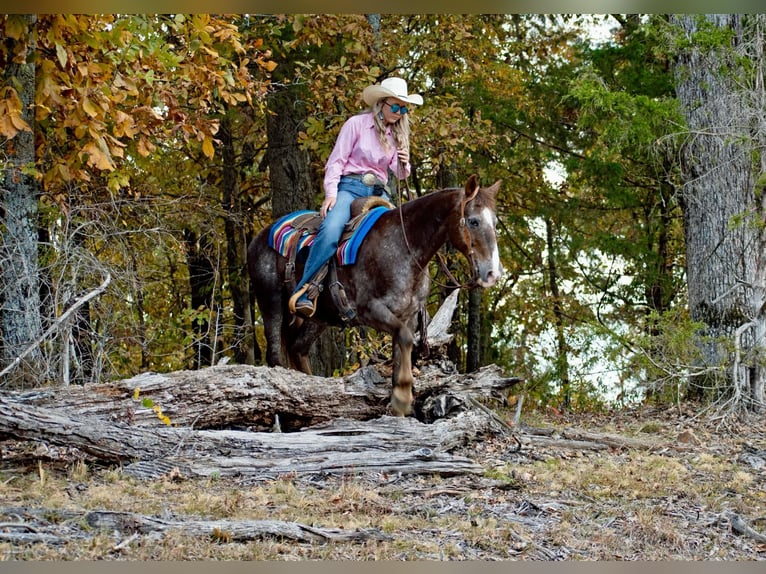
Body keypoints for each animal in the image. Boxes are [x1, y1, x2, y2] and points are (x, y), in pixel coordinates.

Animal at [247, 174, 503, 416]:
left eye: (495, 222)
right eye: (473, 221)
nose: (492, 273)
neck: (403, 248)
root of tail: (259, 237)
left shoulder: (408, 316)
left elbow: (401, 351)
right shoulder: (370, 311)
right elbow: (406, 339)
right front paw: (402, 397)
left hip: (317, 318)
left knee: (298, 349)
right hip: (271, 304)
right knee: (275, 358)